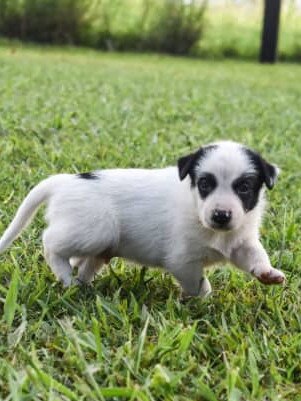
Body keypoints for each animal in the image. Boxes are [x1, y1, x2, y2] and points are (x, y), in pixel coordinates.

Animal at [0, 140, 284, 294]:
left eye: (244, 187)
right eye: (205, 183)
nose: (221, 215)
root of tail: (64, 181)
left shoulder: (240, 243)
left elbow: (256, 256)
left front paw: (268, 273)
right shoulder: (182, 260)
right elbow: (198, 284)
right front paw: (199, 301)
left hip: (99, 246)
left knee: (82, 261)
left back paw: (81, 284)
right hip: (95, 230)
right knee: (49, 243)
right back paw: (65, 277)